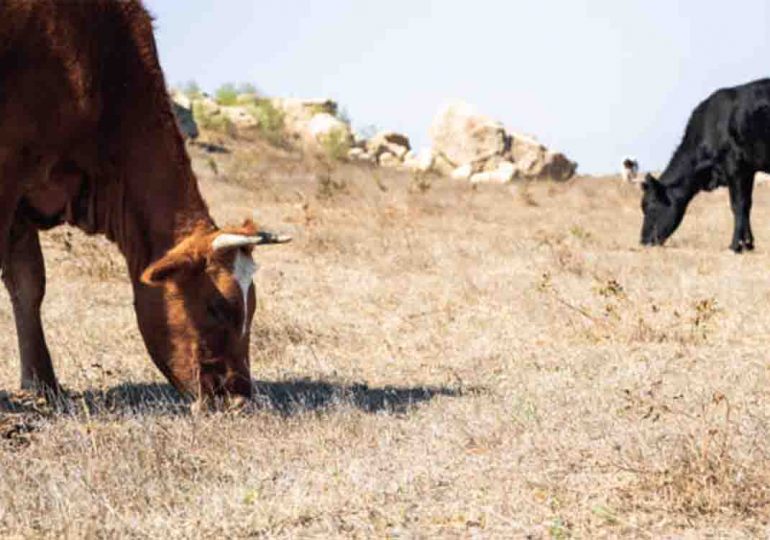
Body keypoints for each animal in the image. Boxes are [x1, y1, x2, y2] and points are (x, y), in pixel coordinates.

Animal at [0, 0, 288, 404]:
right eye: (219, 307)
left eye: (252, 308)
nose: (239, 397)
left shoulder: (24, 199)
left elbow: (29, 286)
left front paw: (44, 385)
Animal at [640, 78, 768, 253]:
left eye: (650, 205)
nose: (643, 241)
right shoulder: (748, 171)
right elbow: (747, 205)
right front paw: (748, 244)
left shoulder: (734, 167)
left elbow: (738, 205)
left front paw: (735, 246)